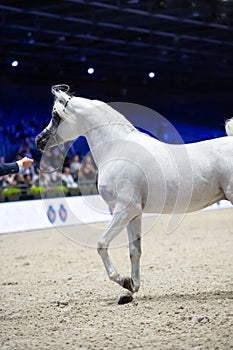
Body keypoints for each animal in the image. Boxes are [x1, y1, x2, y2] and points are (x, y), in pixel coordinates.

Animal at [35, 84, 232, 304]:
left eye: (55, 115)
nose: (39, 141)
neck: (116, 147)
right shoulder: (134, 213)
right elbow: (134, 250)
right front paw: (131, 289)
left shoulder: (125, 209)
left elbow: (101, 244)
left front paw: (123, 281)